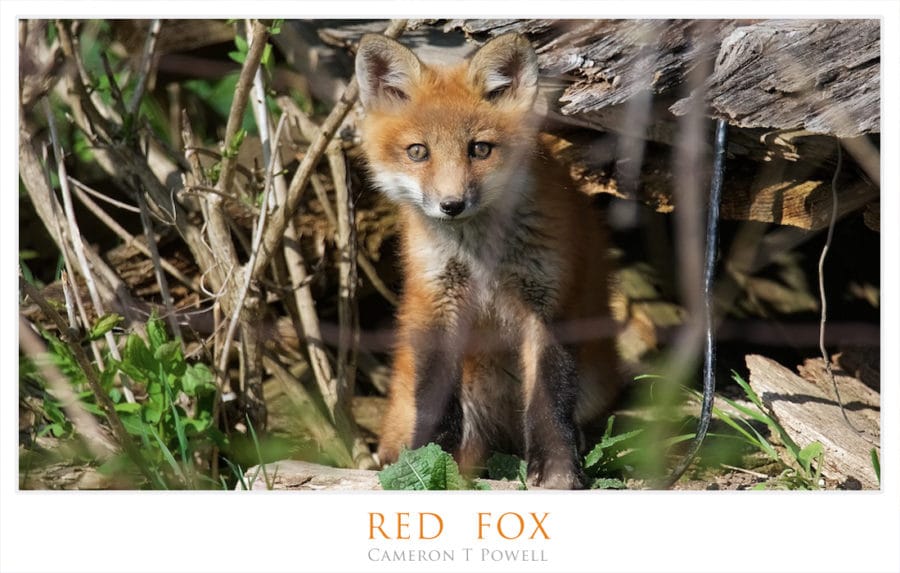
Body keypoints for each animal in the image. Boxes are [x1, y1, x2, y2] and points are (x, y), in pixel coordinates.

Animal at [355, 32, 621, 489]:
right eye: (418, 152)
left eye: (479, 149)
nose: (451, 205)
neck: (481, 258)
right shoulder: (438, 302)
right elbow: (434, 406)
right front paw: (428, 463)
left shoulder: (550, 304)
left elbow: (549, 399)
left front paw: (557, 470)